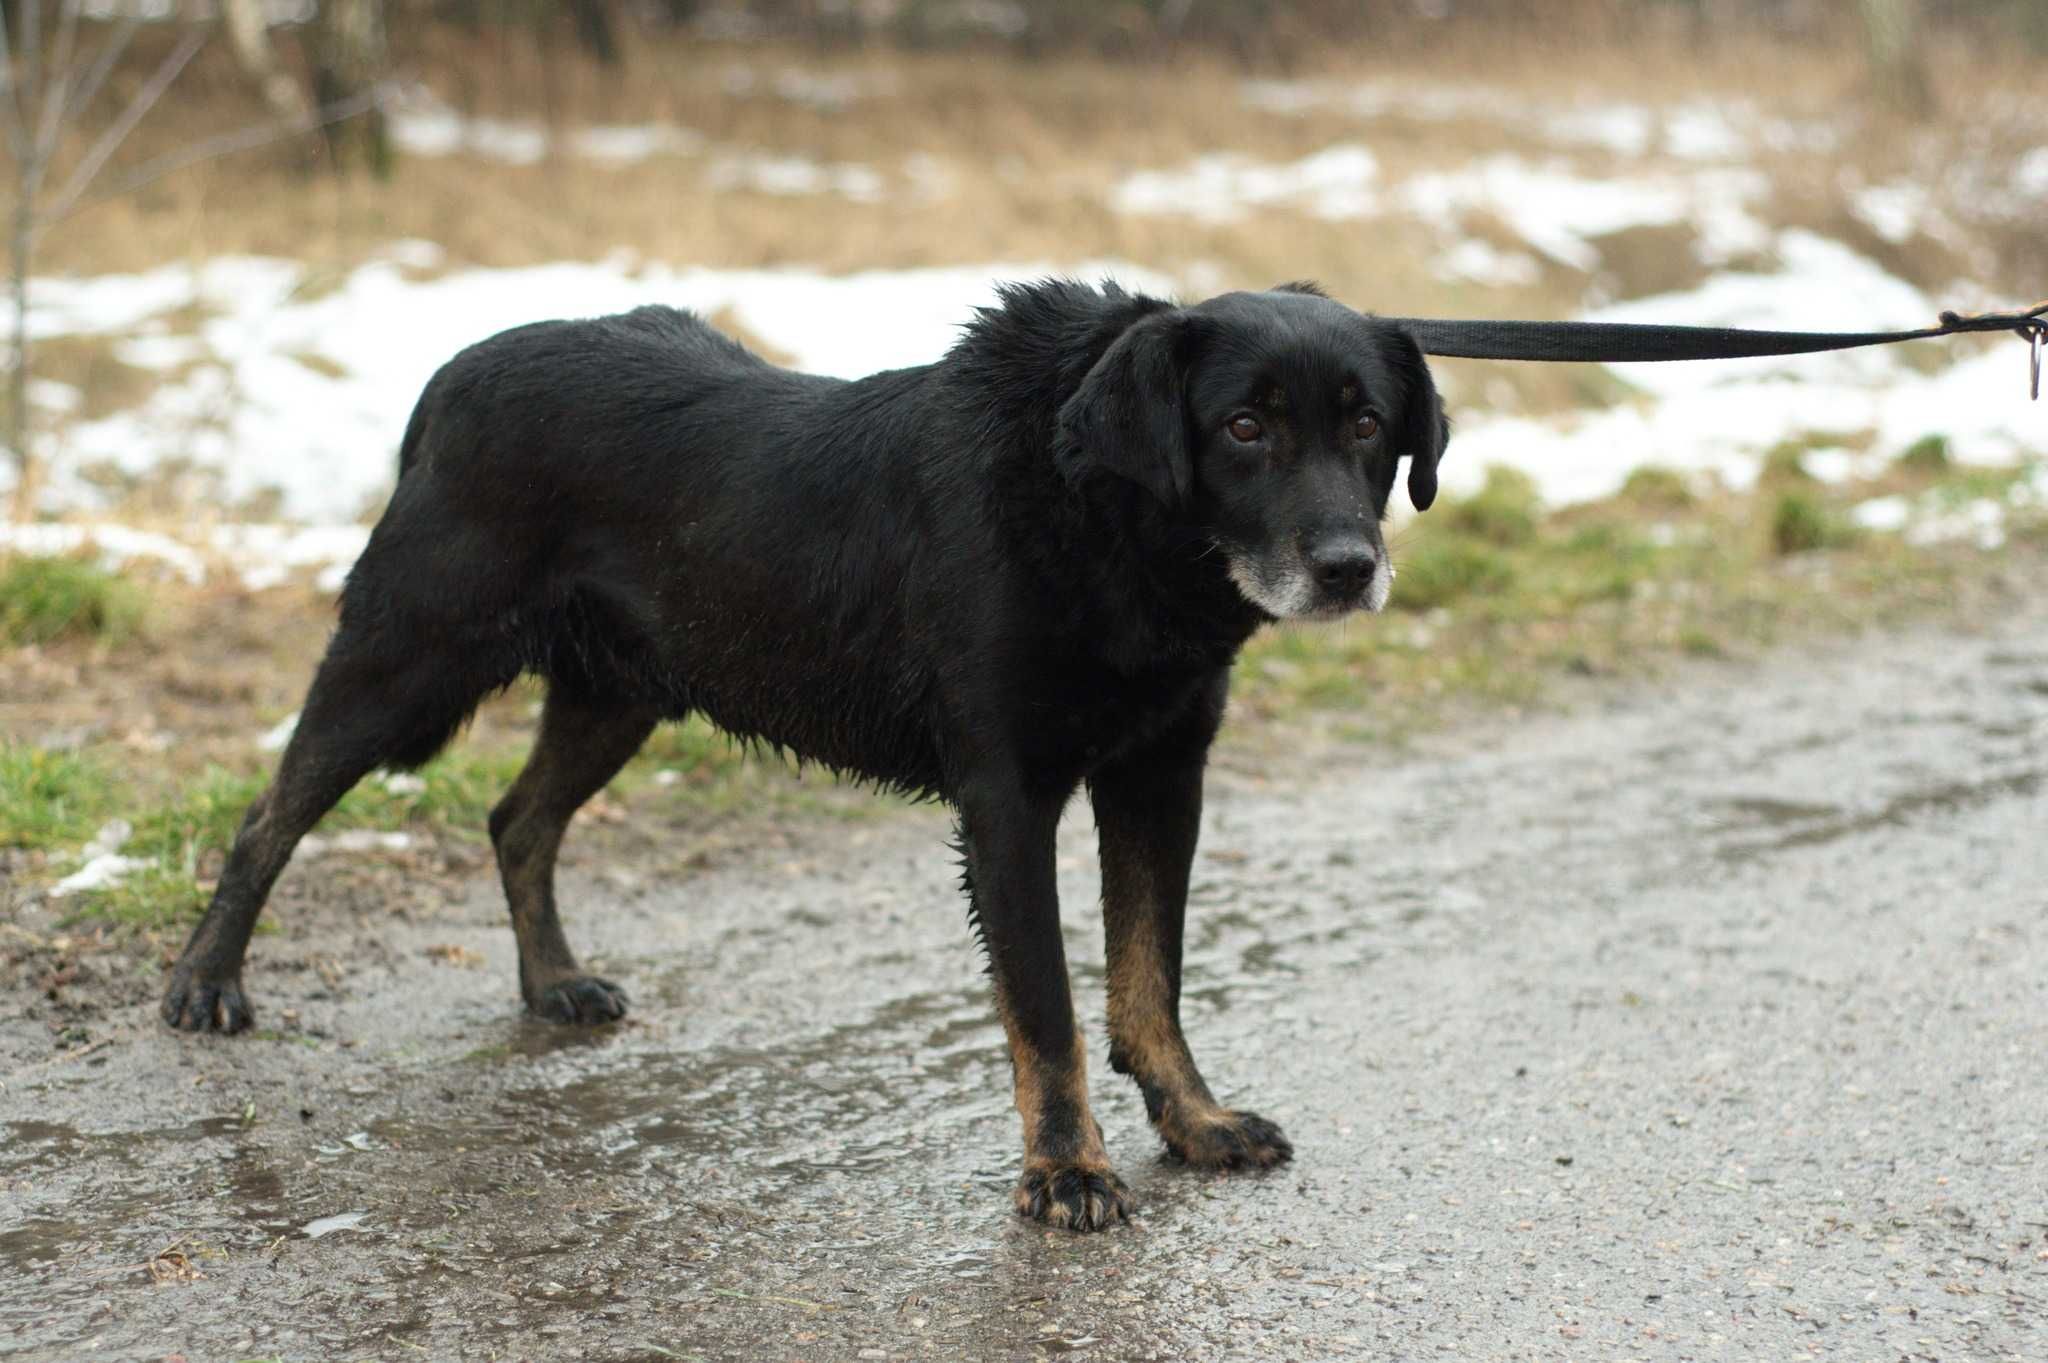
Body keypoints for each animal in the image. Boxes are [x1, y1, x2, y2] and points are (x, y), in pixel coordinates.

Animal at [159, 274, 1449, 1219]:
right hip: (405, 657)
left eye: (1366, 424)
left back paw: (551, 982)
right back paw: (205, 984)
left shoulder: (1158, 775)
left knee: (516, 818)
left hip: (621, 691)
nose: (1349, 568)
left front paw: (1193, 1121)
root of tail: (454, 376)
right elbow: (1048, 1008)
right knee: (268, 813)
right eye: (1243, 427)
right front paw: (1065, 1170)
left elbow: (1149, 981)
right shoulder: (1006, 799)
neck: (1094, 509)